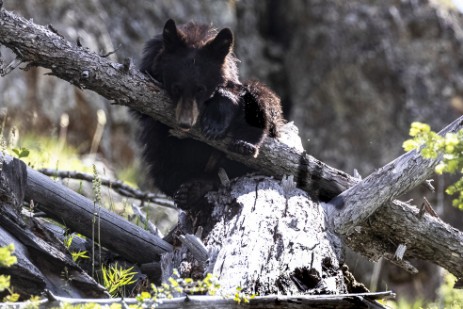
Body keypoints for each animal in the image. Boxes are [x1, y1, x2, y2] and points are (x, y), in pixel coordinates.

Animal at [133, 19, 286, 209]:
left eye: (201, 89)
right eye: (176, 88)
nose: (185, 124)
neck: (196, 37)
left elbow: (234, 90)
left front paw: (215, 123)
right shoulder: (149, 65)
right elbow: (143, 110)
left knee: (259, 93)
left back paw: (244, 144)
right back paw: (189, 191)